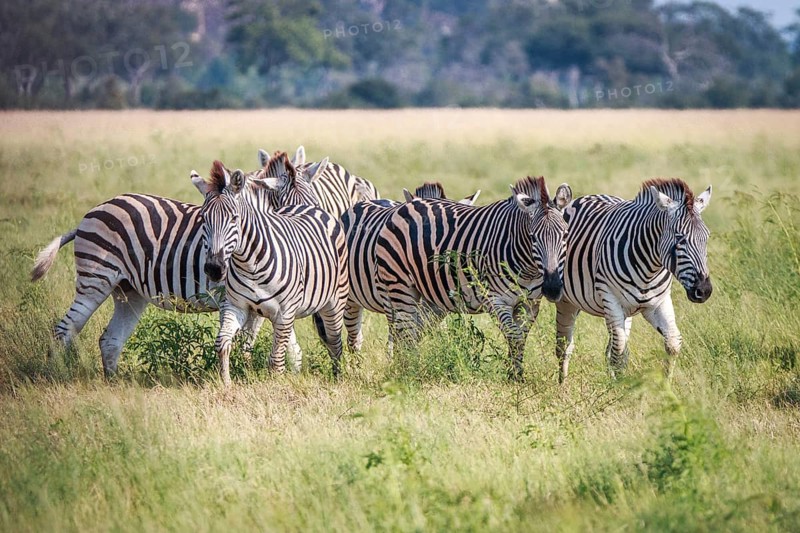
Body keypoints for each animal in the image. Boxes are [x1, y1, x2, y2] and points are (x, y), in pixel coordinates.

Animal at [30, 151, 324, 377]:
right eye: (289, 209)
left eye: (314, 204)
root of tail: (94, 211)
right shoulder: (236, 299)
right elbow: (248, 341)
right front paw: (247, 374)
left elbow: (289, 345)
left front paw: (289, 376)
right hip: (95, 280)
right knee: (65, 330)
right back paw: (55, 376)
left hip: (128, 291)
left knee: (109, 339)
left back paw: (113, 384)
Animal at [193, 162, 349, 385]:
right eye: (204, 218)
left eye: (234, 218)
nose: (214, 268)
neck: (249, 264)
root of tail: (308, 207)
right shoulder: (237, 306)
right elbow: (222, 343)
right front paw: (226, 384)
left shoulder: (284, 313)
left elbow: (275, 361)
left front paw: (277, 388)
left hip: (333, 302)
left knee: (335, 343)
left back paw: (338, 378)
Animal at [375, 176, 572, 379]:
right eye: (532, 237)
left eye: (565, 235)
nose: (552, 289)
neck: (529, 269)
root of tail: (406, 205)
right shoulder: (495, 299)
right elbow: (514, 335)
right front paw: (515, 377)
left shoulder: (530, 303)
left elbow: (520, 337)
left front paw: (514, 374)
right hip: (399, 285)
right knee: (405, 332)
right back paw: (410, 371)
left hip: (428, 294)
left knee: (414, 330)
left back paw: (406, 367)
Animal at [555, 178, 713, 383]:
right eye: (680, 239)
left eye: (706, 238)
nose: (704, 290)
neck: (650, 268)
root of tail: (585, 197)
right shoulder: (610, 297)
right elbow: (618, 351)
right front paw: (615, 388)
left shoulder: (659, 302)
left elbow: (673, 342)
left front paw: (666, 385)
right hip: (568, 301)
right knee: (564, 347)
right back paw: (563, 384)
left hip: (625, 311)